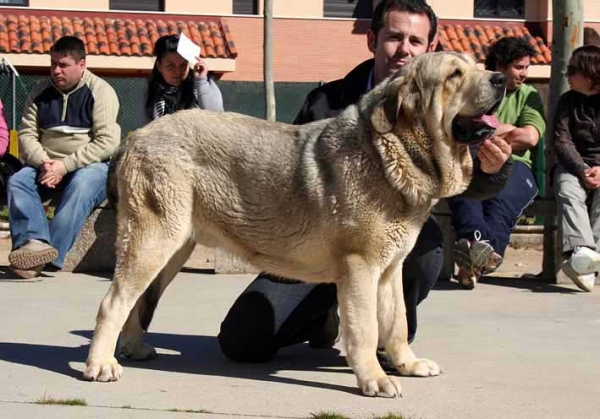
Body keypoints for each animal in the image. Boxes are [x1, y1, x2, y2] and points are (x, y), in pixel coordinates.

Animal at [85, 52, 506, 398]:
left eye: (476, 65)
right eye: (455, 74)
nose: (501, 77)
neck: (393, 150)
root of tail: (135, 136)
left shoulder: (390, 271)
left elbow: (397, 322)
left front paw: (407, 363)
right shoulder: (361, 268)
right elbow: (366, 329)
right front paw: (374, 378)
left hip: (172, 250)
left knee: (139, 301)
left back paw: (132, 348)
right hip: (152, 242)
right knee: (113, 302)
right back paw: (100, 364)